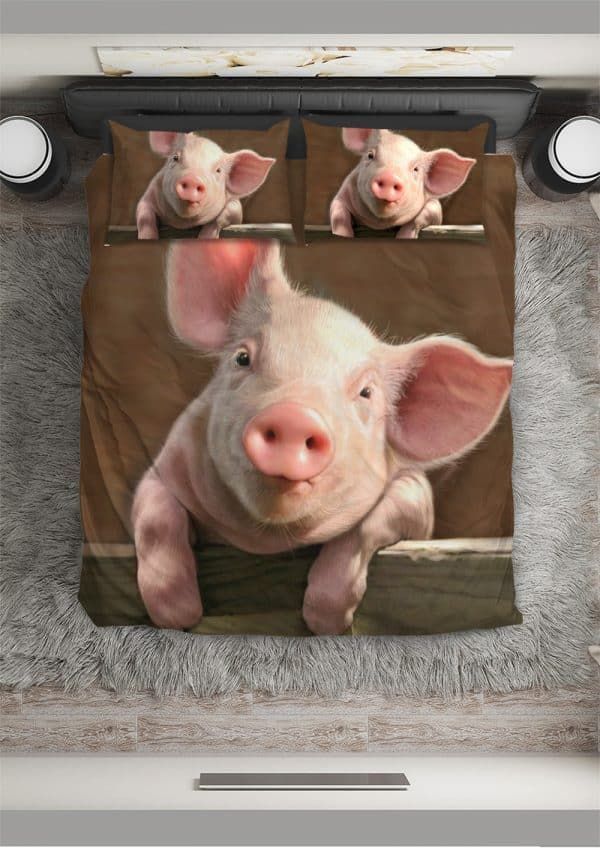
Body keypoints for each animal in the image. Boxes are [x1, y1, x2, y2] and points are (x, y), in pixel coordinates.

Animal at [132, 241, 512, 634]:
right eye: (242, 357)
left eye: (366, 393)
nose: (293, 417)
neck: (268, 540)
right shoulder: (161, 470)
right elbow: (155, 518)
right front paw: (178, 615)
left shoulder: (417, 500)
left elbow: (366, 529)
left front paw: (324, 622)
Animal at [135, 131, 276, 240]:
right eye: (175, 157)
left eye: (218, 170)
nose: (193, 179)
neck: (183, 224)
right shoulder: (149, 195)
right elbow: (144, 215)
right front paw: (147, 238)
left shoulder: (235, 207)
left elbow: (223, 216)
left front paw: (205, 238)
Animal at [330, 128, 476, 239]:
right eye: (370, 155)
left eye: (416, 169)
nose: (389, 176)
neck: (380, 224)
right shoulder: (342, 194)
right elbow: (338, 213)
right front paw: (343, 236)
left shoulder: (435, 209)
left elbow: (422, 217)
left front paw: (404, 237)